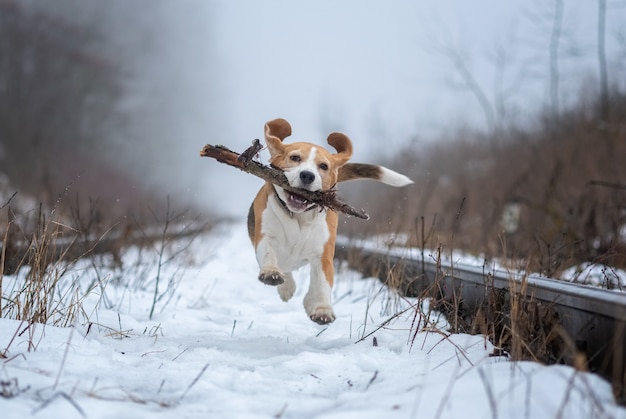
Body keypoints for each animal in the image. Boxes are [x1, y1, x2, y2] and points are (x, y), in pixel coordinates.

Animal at [246, 118, 412, 324]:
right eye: (295, 158)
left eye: (323, 166)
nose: (307, 175)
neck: (299, 216)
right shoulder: (265, 235)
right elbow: (268, 253)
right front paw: (271, 273)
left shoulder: (323, 254)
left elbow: (322, 283)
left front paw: (321, 309)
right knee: (285, 268)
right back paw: (286, 286)